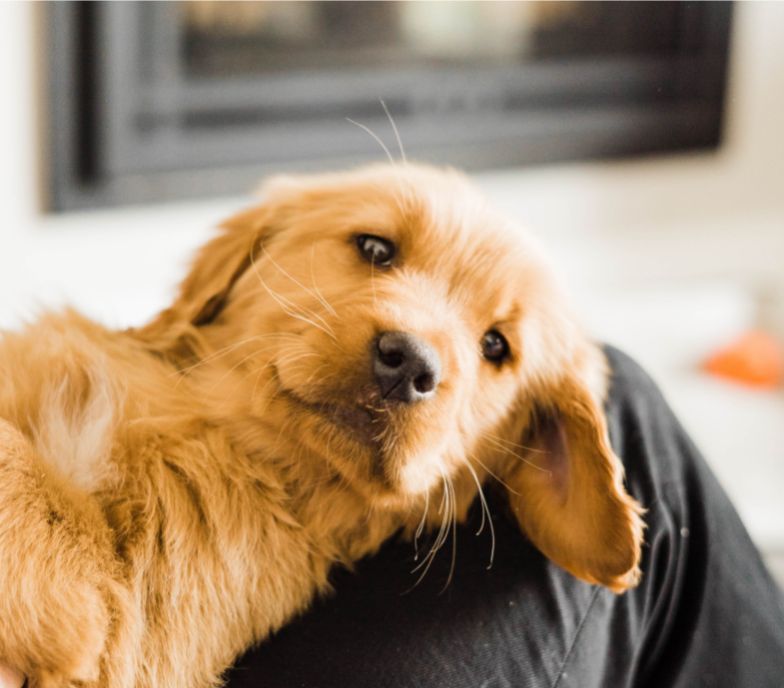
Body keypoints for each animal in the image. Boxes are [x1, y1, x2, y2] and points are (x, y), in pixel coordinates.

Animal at [0, 164, 644, 684]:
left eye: (495, 346)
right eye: (376, 249)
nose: (410, 363)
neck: (213, 422)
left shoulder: (126, 614)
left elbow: (32, 489)